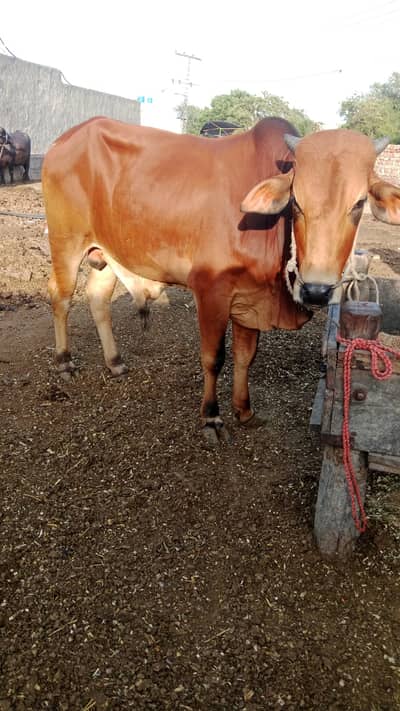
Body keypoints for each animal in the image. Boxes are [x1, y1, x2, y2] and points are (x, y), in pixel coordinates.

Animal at [42, 117, 400, 442]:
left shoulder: (250, 297)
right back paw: (64, 362)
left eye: (359, 203)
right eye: (296, 202)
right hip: (66, 242)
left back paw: (114, 362)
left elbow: (245, 356)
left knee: (97, 297)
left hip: (104, 251)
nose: (316, 290)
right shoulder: (211, 290)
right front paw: (211, 417)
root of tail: (65, 139)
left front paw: (244, 409)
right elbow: (214, 358)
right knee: (60, 296)